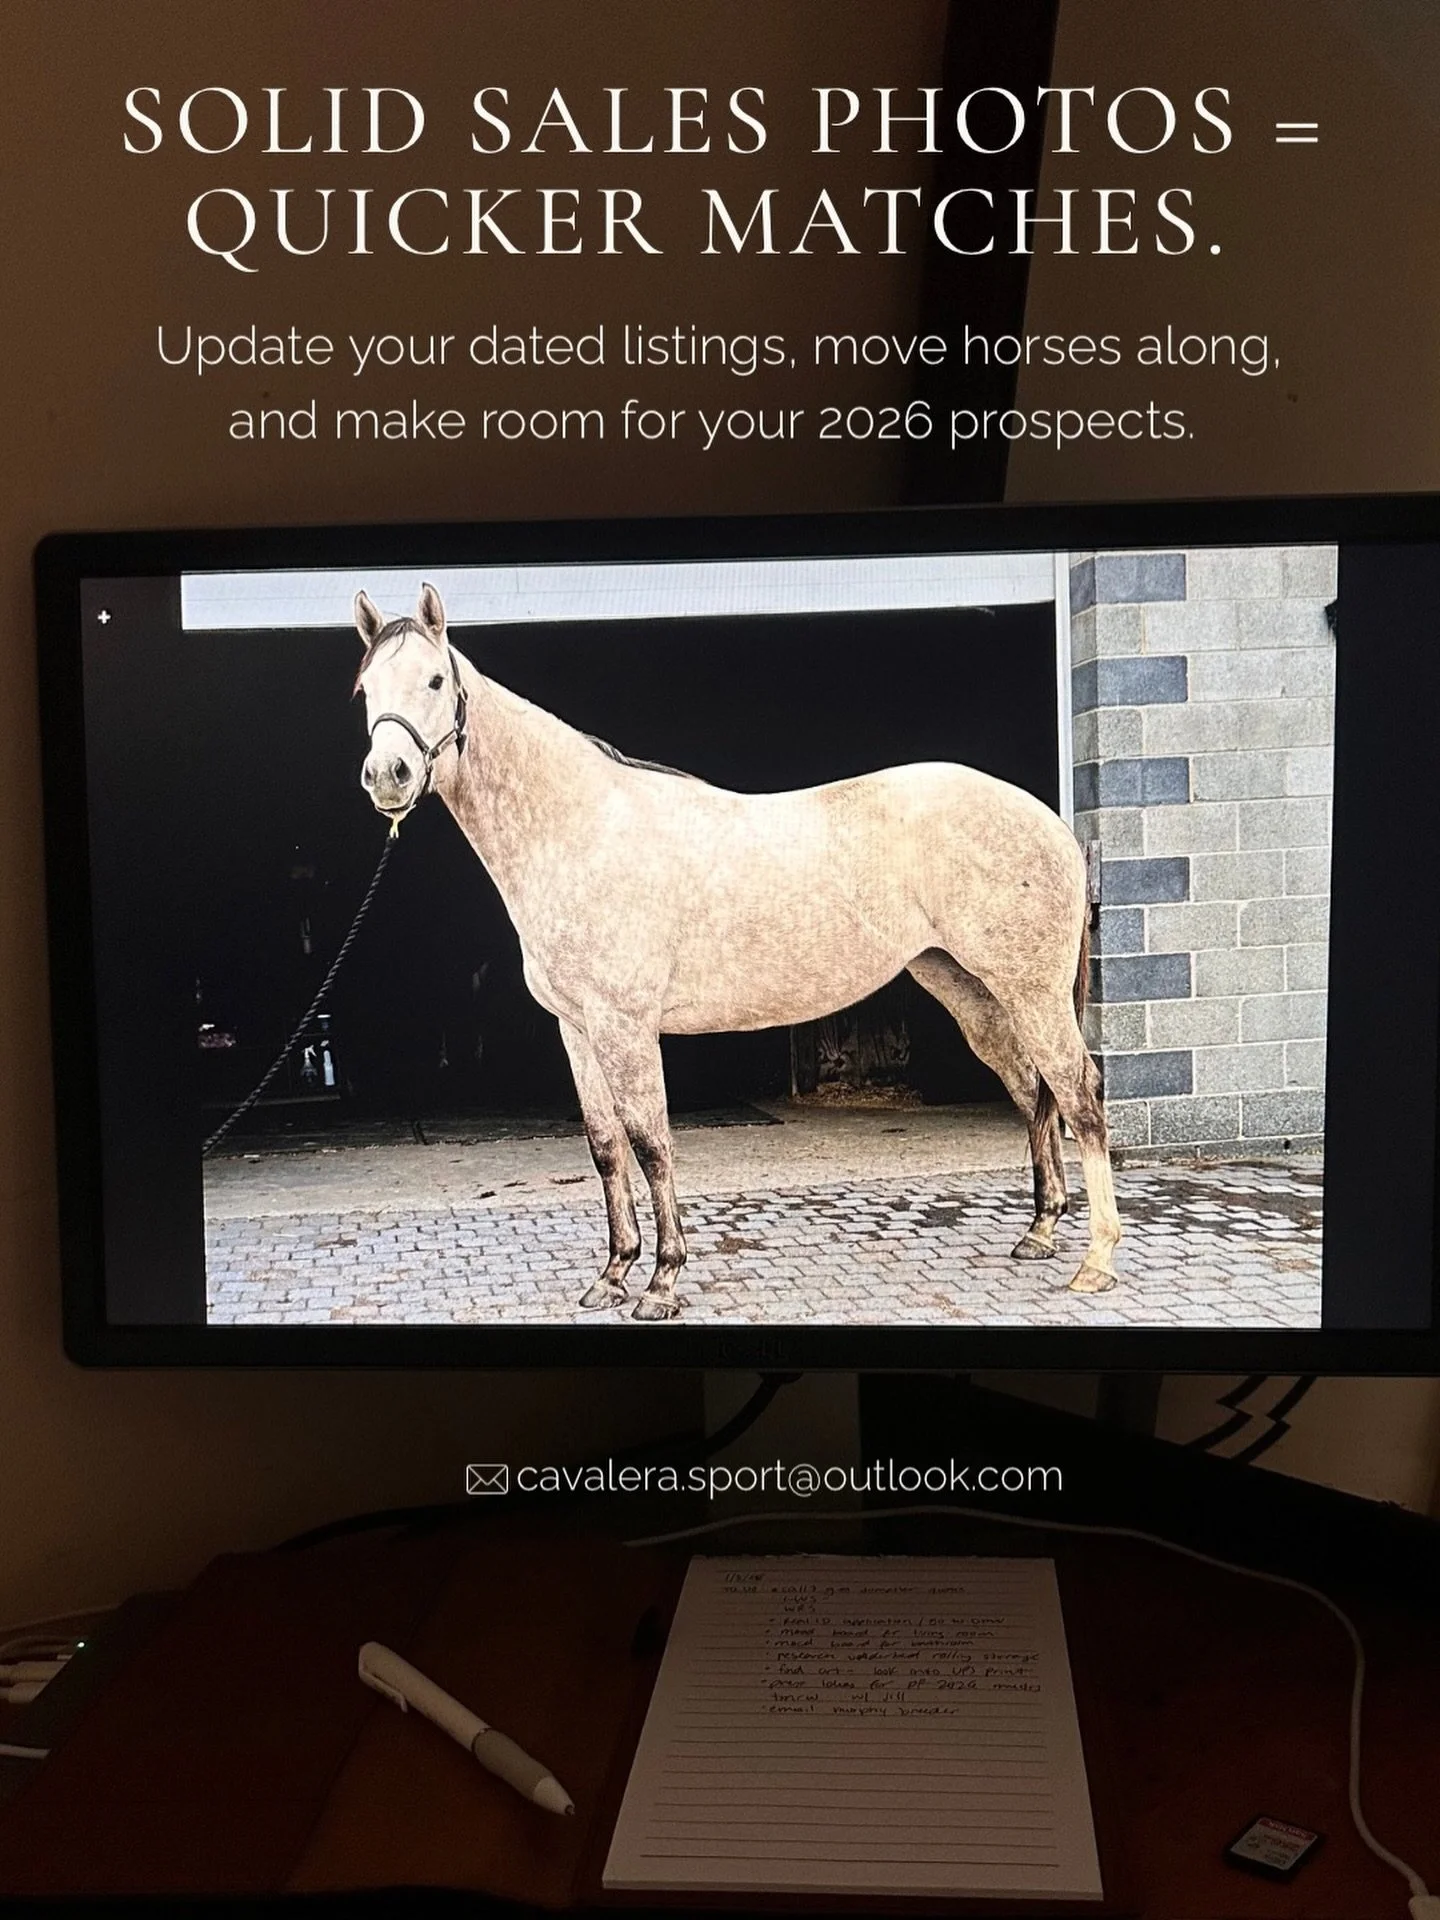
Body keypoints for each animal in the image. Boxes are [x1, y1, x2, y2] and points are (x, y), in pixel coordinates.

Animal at [354, 583, 1121, 1320]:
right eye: (365, 689)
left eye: (433, 680)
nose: (388, 775)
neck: (583, 829)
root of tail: (1050, 824)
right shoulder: (576, 1029)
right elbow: (605, 1146)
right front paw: (612, 1276)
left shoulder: (626, 1028)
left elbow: (651, 1142)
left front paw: (662, 1283)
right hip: (975, 993)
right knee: (1035, 1091)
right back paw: (1039, 1233)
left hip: (1032, 993)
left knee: (1080, 1093)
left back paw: (1097, 1261)